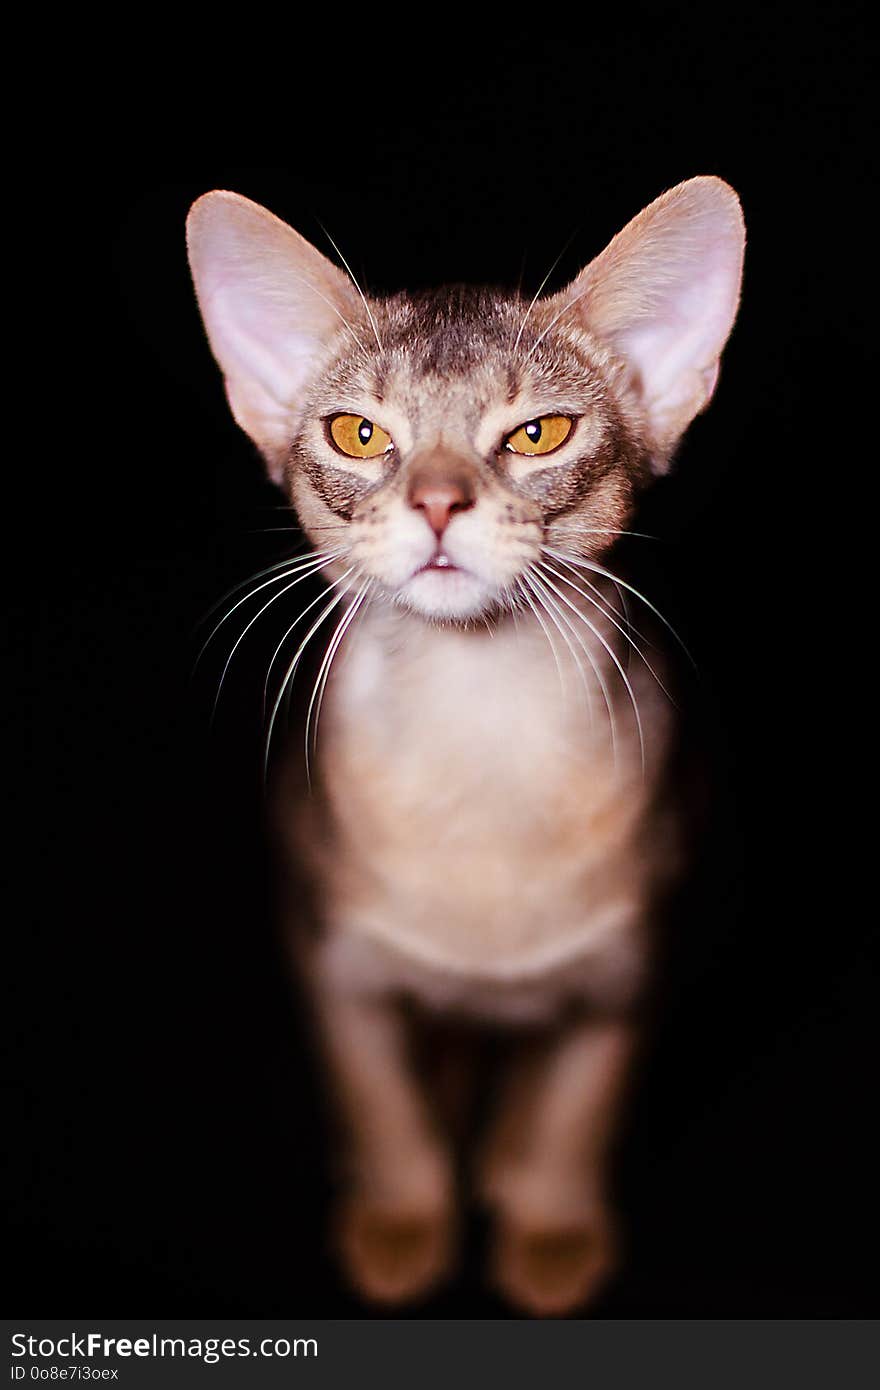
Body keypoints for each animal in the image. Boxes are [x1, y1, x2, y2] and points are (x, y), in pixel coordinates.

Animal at [189, 179, 745, 1317]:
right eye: (359, 433)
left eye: (539, 433)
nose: (438, 502)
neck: (478, 728)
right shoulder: (332, 959)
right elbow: (381, 1104)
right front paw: (404, 1218)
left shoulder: (627, 970)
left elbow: (581, 1109)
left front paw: (552, 1228)